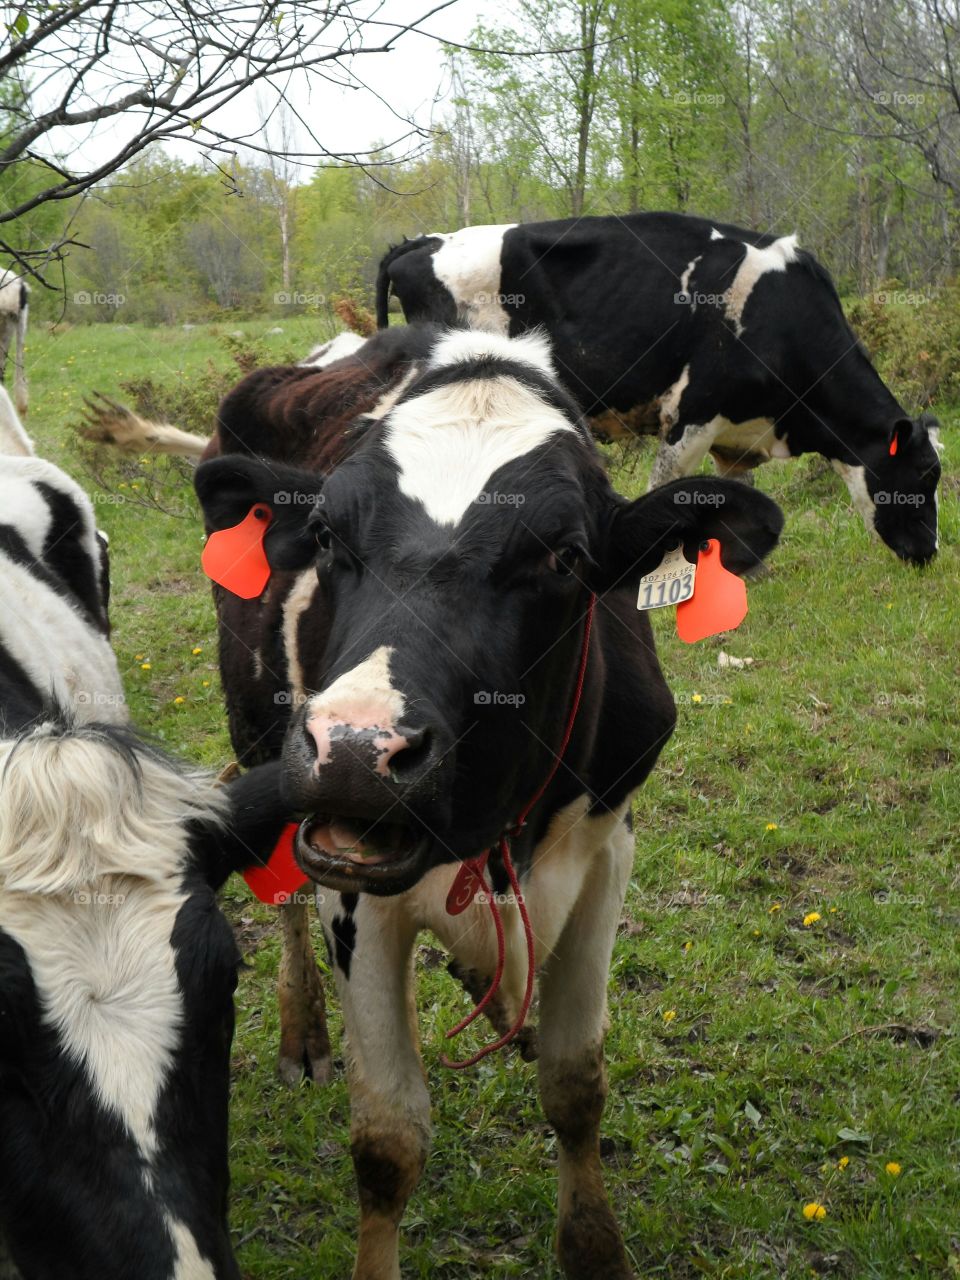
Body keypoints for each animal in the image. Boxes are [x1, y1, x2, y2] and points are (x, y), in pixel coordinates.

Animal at [194, 327, 784, 1278]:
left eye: (565, 557)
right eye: (325, 536)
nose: (356, 747)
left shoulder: (606, 849)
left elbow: (576, 1084)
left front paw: (596, 1250)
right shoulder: (353, 879)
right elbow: (389, 1138)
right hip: (256, 728)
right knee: (278, 885)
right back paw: (303, 1035)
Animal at [375, 213, 942, 565]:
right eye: (924, 473)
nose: (931, 552)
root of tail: (420, 242)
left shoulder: (734, 438)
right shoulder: (690, 417)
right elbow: (668, 490)